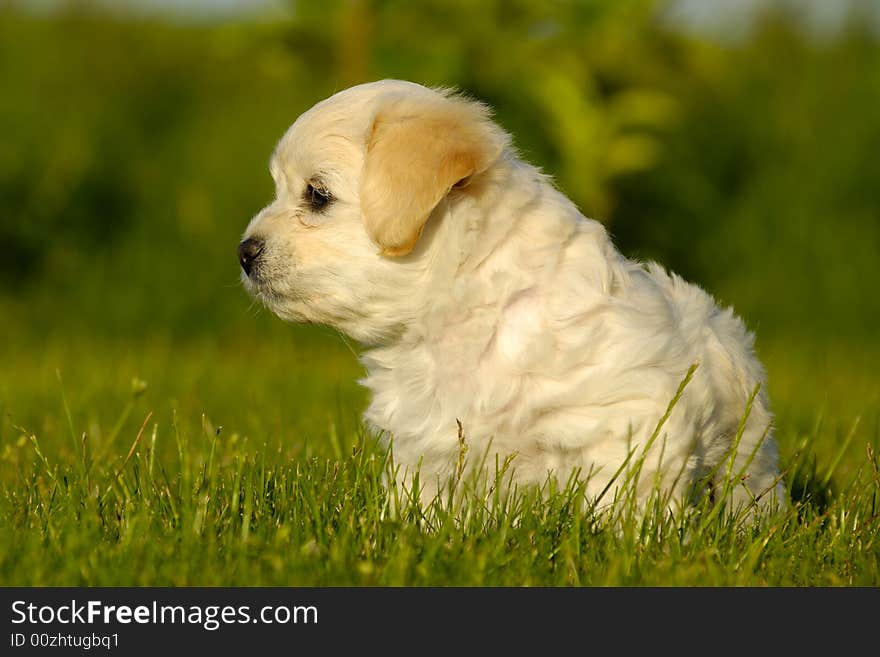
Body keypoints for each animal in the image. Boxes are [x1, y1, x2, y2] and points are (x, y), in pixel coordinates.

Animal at [237, 80, 788, 512]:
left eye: (317, 195)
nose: (244, 252)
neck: (463, 312)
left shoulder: (628, 423)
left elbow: (620, 505)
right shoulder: (425, 446)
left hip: (747, 457)